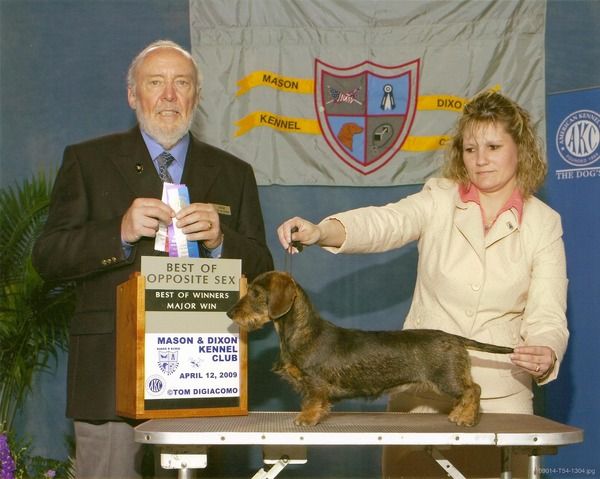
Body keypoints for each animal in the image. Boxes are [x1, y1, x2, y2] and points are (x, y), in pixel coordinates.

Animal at [227, 271, 513, 427]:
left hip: (447, 378)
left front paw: (306, 418)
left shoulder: (314, 382)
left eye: (255, 293)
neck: (302, 332)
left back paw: (465, 417)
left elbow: (313, 401)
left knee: (473, 390)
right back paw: (458, 413)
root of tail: (453, 337)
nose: (230, 313)